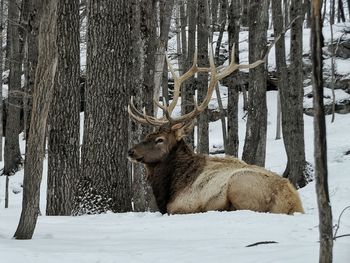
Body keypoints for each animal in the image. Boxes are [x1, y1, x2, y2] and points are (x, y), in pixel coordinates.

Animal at [126, 47, 304, 217]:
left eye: (160, 139)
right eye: (147, 135)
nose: (131, 151)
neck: (170, 188)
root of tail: (291, 202)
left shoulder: (180, 207)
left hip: (239, 184)